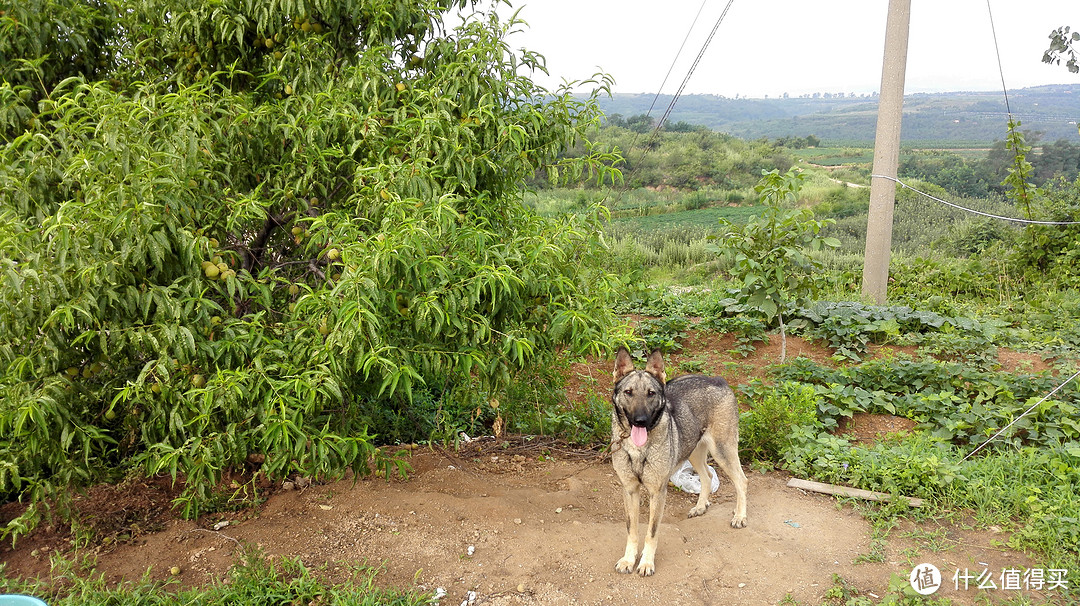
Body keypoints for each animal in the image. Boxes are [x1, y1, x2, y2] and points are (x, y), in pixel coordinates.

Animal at [613, 347, 747, 574]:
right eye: (628, 392)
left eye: (651, 393)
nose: (640, 421)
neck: (638, 449)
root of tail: (719, 380)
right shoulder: (629, 490)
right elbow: (632, 530)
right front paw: (628, 559)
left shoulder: (658, 493)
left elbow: (651, 533)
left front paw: (646, 562)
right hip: (694, 452)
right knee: (707, 476)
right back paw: (701, 506)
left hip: (722, 451)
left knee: (742, 481)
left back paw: (740, 516)